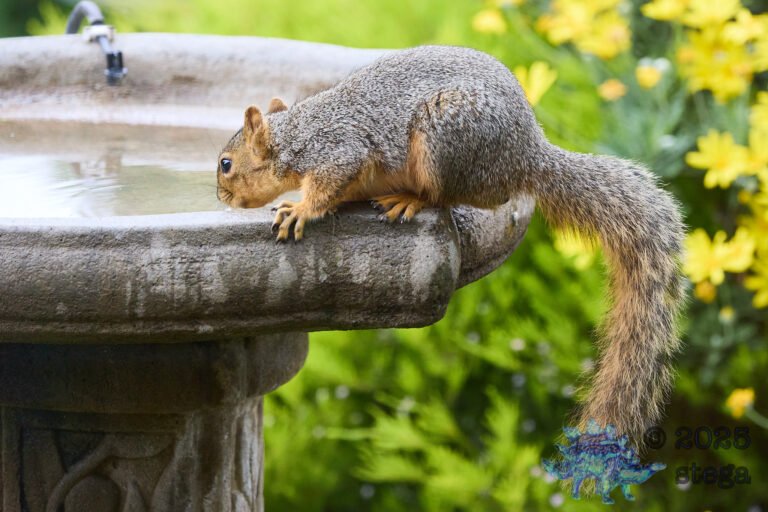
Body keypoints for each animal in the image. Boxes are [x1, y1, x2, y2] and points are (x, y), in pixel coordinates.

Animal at [216, 45, 686, 447]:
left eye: (225, 164)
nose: (220, 197)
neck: (297, 134)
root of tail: (527, 157)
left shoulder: (338, 151)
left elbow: (327, 185)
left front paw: (299, 209)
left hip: (445, 141)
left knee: (453, 197)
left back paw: (411, 199)